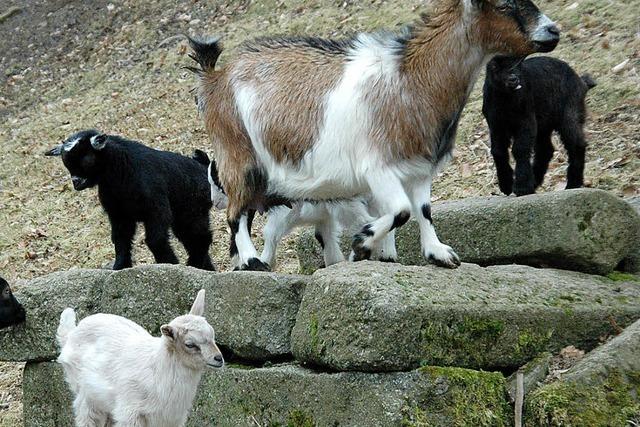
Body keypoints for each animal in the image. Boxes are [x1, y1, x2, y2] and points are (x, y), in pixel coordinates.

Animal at [188, 0, 556, 270]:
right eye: (504, 5)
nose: (553, 30)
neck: (410, 79)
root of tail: (215, 78)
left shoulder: (419, 167)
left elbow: (423, 210)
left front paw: (437, 253)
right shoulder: (377, 168)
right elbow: (401, 211)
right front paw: (362, 246)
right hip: (239, 154)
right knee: (236, 214)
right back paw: (252, 261)